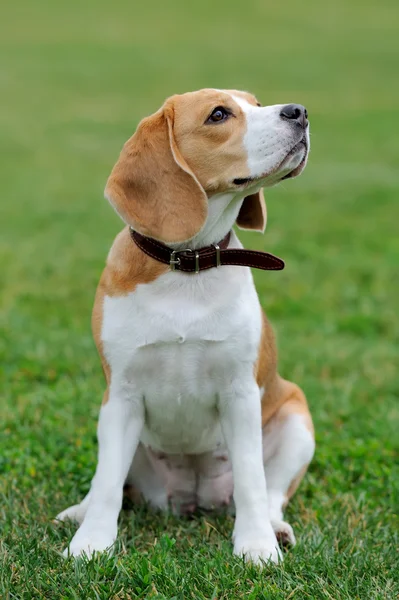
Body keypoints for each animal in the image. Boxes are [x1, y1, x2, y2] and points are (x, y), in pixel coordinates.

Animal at [57, 88, 318, 564]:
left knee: (273, 491)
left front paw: (256, 546)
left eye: (255, 103)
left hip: (295, 416)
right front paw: (90, 544)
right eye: (219, 115)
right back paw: (78, 512)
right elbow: (108, 482)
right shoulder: (122, 395)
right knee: (107, 480)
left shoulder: (240, 393)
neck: (188, 266)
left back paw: (275, 528)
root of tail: (192, 498)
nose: (300, 112)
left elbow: (252, 479)